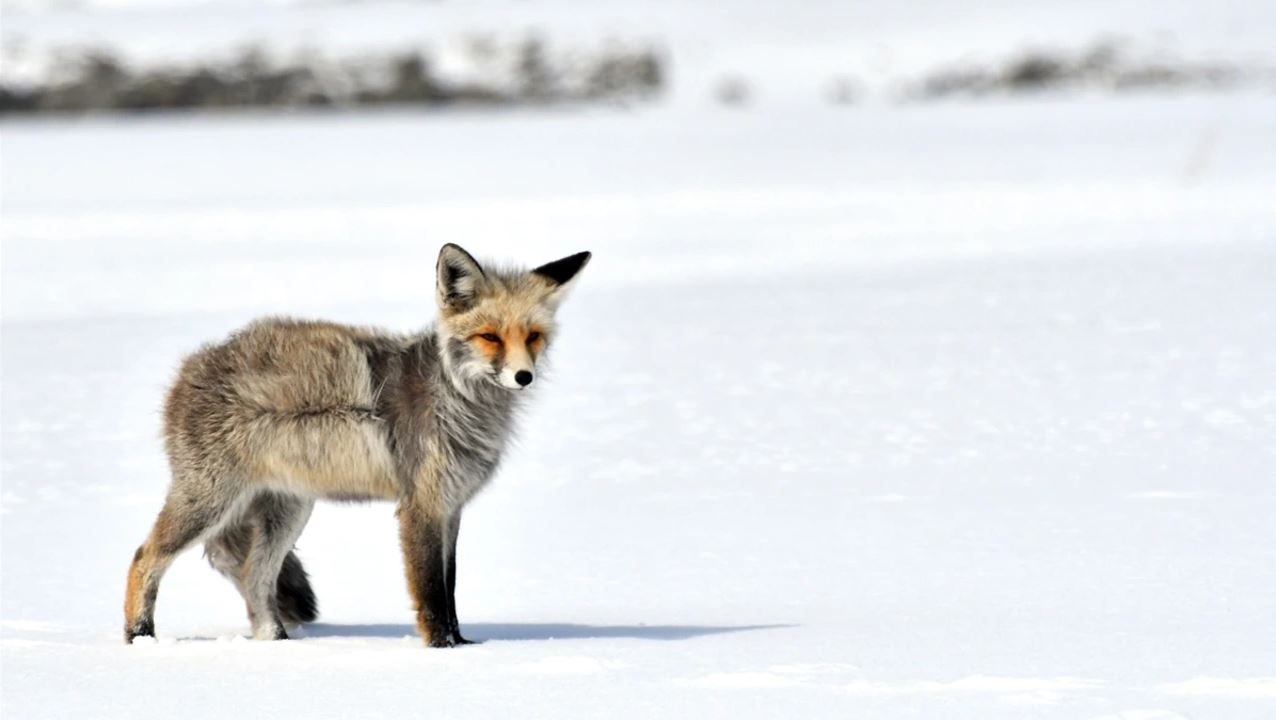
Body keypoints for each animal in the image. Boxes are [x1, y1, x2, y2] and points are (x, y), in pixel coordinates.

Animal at [121, 246, 589, 645]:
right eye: (490, 337)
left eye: (533, 336)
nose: (524, 377)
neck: (457, 399)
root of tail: (188, 368)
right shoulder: (421, 506)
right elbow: (431, 595)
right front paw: (443, 650)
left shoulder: (451, 507)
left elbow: (451, 588)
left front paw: (465, 645)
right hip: (210, 501)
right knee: (144, 557)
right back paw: (140, 636)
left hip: (288, 510)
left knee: (255, 578)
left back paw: (277, 642)